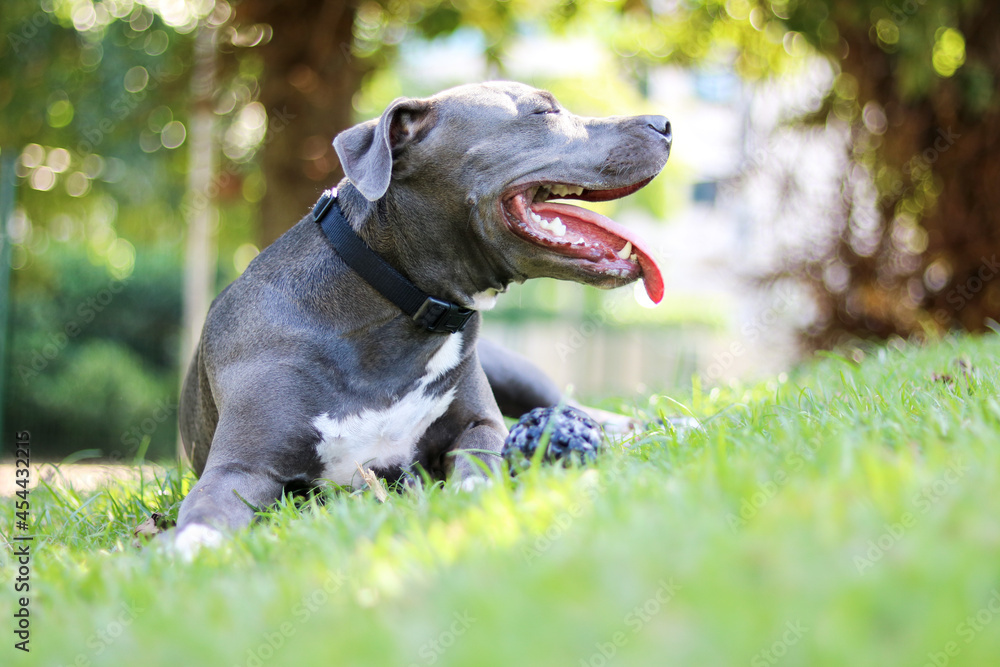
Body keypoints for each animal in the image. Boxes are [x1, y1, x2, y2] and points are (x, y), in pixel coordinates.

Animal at [173, 81, 672, 556]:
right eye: (543, 111)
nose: (664, 123)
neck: (389, 311)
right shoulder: (240, 468)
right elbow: (205, 511)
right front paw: (185, 551)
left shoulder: (481, 425)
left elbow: (481, 459)